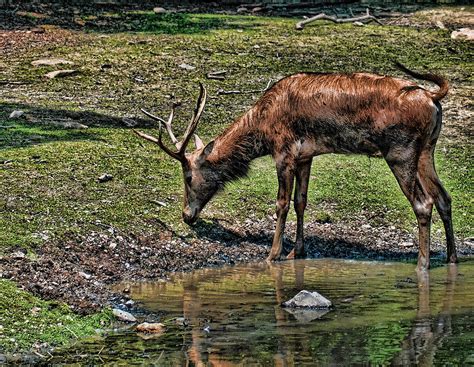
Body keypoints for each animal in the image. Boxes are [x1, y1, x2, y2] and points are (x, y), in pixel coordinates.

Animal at [135, 62, 458, 270]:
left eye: (188, 177)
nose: (186, 216)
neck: (262, 130)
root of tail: (432, 96)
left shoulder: (284, 151)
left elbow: (281, 203)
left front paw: (274, 253)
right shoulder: (306, 155)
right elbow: (301, 201)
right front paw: (296, 252)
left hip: (400, 151)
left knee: (423, 202)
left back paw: (422, 263)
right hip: (427, 150)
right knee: (444, 197)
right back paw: (452, 258)